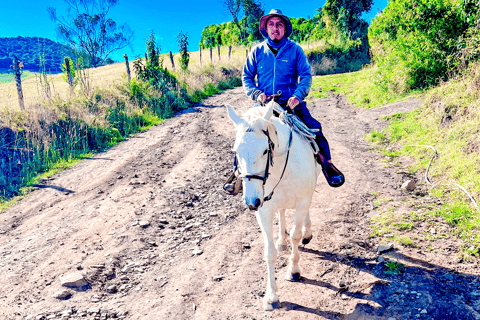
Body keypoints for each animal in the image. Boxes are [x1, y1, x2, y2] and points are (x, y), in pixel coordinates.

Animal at [227, 102, 320, 310]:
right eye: (236, 151)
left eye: (264, 150)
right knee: (282, 212)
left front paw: (294, 271)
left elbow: (295, 236)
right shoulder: (263, 210)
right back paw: (281, 242)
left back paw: (307, 232)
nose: (251, 202)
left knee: (305, 214)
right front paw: (271, 296)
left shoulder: (302, 201)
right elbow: (269, 252)